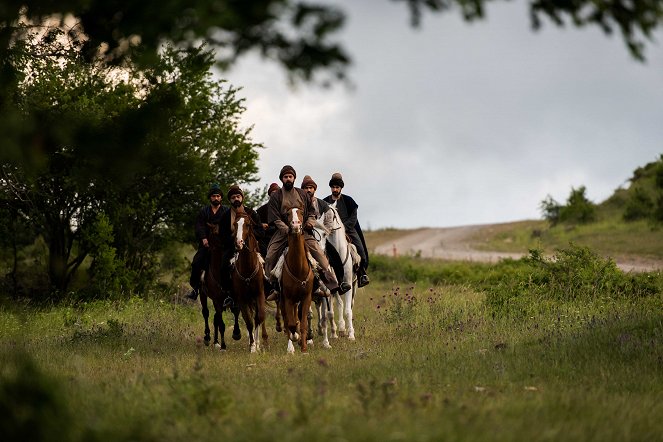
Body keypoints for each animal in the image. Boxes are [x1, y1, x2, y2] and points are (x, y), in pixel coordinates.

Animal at [231, 211, 268, 352]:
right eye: (235, 224)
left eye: (247, 224)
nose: (238, 243)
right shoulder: (242, 299)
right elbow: (249, 321)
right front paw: (252, 346)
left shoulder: (259, 294)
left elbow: (259, 317)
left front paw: (256, 344)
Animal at [314, 201, 360, 348]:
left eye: (332, 215)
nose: (326, 229)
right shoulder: (328, 288)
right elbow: (329, 312)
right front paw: (334, 334)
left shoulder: (348, 284)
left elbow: (347, 310)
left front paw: (351, 335)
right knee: (338, 304)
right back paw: (340, 329)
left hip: (353, 285)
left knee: (349, 305)